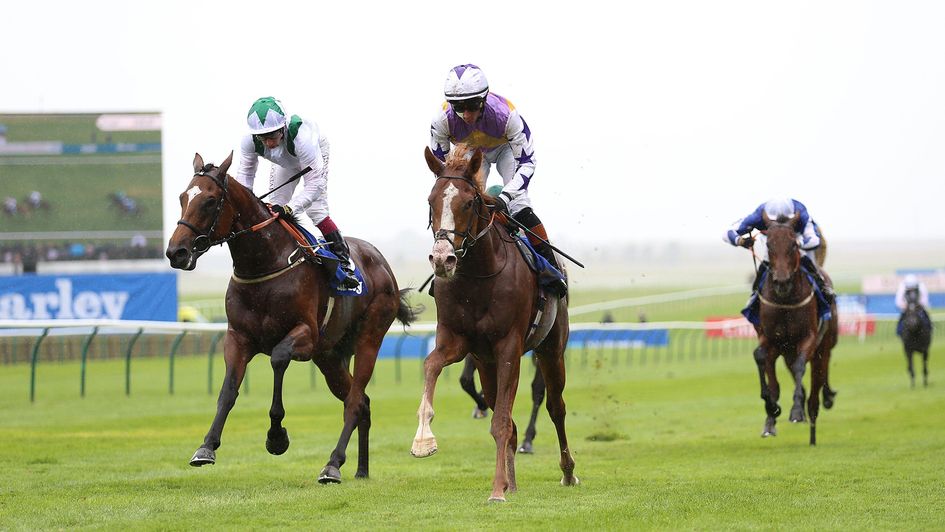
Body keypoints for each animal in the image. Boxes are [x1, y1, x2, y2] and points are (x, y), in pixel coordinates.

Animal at [168, 152, 418, 484]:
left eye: (209, 201)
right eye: (183, 197)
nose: (176, 252)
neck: (264, 265)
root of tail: (382, 262)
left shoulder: (305, 335)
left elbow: (277, 359)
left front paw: (276, 437)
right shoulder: (238, 338)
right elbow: (228, 391)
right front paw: (206, 446)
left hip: (369, 337)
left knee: (354, 402)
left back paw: (333, 464)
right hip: (329, 356)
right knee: (361, 401)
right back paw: (361, 469)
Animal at [412, 143, 576, 500]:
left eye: (469, 202)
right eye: (430, 201)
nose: (443, 259)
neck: (479, 276)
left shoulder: (508, 348)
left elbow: (501, 420)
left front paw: (496, 490)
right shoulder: (457, 342)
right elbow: (431, 366)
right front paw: (423, 440)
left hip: (550, 349)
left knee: (556, 407)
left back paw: (567, 471)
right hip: (485, 363)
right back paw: (512, 481)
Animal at [752, 213, 840, 444]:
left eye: (793, 245)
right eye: (769, 245)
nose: (782, 282)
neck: (785, 301)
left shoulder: (808, 339)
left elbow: (801, 368)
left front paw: (796, 411)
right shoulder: (771, 340)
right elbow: (761, 359)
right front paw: (771, 410)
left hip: (822, 349)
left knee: (815, 395)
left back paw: (812, 432)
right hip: (785, 352)